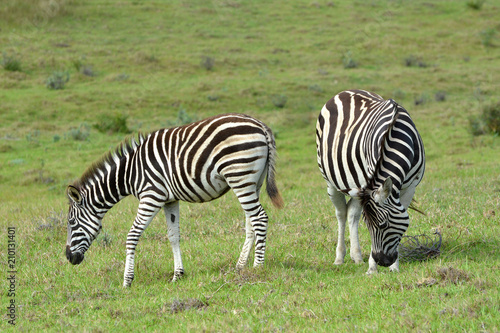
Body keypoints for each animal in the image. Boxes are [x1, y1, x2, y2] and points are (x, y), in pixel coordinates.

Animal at [66, 112, 284, 286]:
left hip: (240, 176)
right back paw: (240, 266)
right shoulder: (169, 200)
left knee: (259, 218)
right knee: (251, 222)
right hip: (252, 181)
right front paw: (177, 274)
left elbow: (132, 235)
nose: (68, 257)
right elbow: (173, 236)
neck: (130, 173)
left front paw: (127, 281)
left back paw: (257, 267)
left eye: (71, 222)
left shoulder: (151, 197)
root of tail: (260, 125)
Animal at [314, 89, 424, 274]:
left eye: (383, 224)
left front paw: (394, 267)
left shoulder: (410, 187)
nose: (382, 261)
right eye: (368, 226)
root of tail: (345, 91)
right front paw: (372, 268)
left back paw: (357, 256)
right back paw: (340, 257)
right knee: (341, 214)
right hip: (332, 182)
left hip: (358, 188)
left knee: (352, 213)